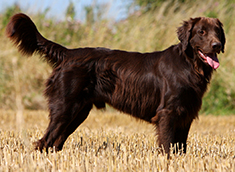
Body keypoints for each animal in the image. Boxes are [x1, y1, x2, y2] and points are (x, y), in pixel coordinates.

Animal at [5, 13, 226, 155]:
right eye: (201, 32)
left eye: (217, 32)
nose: (217, 45)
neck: (189, 64)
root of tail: (68, 54)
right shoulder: (168, 113)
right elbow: (167, 146)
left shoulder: (185, 114)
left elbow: (181, 148)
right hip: (65, 108)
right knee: (46, 140)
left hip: (78, 112)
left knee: (55, 142)